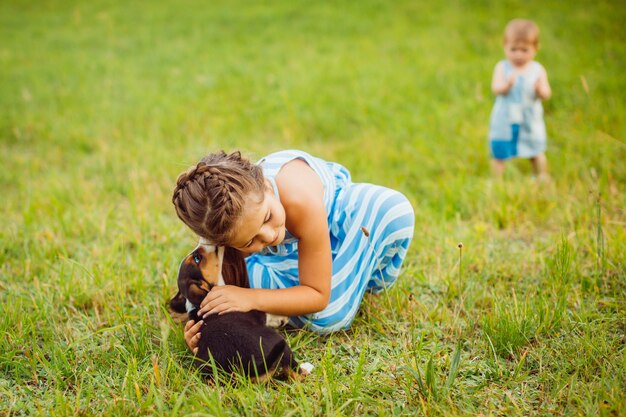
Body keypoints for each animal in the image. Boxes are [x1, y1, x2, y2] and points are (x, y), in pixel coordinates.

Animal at [168, 240, 308, 380]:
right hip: (282, 347)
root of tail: (253, 368)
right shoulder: (255, 312)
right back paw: (306, 369)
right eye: (197, 259)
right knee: (296, 373)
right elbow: (267, 314)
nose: (203, 241)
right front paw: (282, 319)